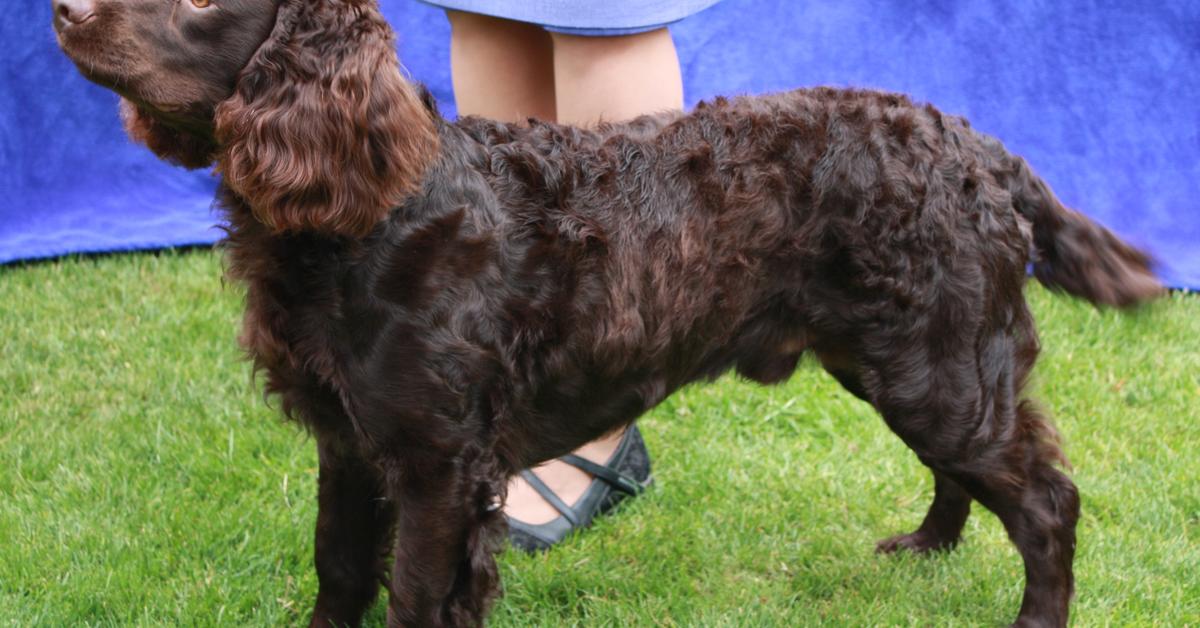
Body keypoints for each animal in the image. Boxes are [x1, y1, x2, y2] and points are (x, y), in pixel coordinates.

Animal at [54, 1, 1161, 624]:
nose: (63, 7)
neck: (374, 206)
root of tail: (982, 150)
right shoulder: (349, 441)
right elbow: (337, 573)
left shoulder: (437, 463)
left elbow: (411, 595)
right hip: (901, 359)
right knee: (970, 473)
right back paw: (926, 551)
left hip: (937, 363)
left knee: (1047, 503)